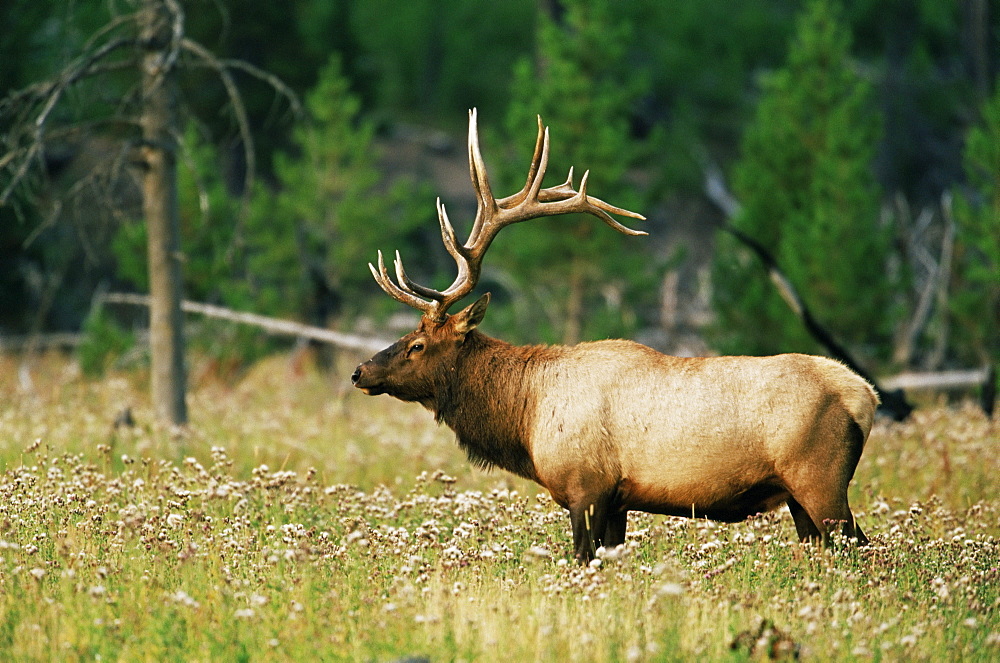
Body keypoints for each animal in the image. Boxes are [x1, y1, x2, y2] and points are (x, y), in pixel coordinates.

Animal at [352, 110, 876, 564]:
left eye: (417, 345)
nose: (360, 371)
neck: (526, 415)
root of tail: (865, 397)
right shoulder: (619, 501)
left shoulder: (587, 486)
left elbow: (583, 560)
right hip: (797, 498)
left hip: (820, 481)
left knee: (862, 549)